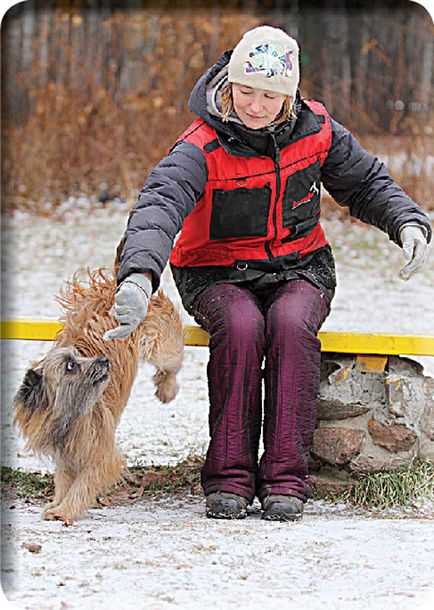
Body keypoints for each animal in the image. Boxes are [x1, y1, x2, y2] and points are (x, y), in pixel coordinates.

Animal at [13, 266, 183, 524]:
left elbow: (83, 483)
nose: (104, 360)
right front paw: (57, 503)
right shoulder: (66, 456)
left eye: (77, 359)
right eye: (71, 365)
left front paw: (65, 509)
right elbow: (64, 480)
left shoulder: (102, 454)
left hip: (162, 346)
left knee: (172, 363)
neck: (70, 416)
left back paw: (167, 389)